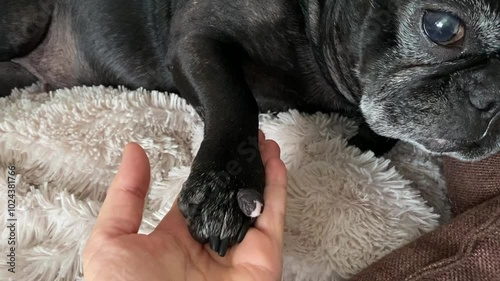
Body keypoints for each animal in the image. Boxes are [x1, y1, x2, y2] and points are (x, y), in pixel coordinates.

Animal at [1, 0, 498, 256]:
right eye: (442, 26)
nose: (495, 94)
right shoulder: (197, 36)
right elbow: (234, 101)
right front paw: (225, 188)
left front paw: (361, 141)